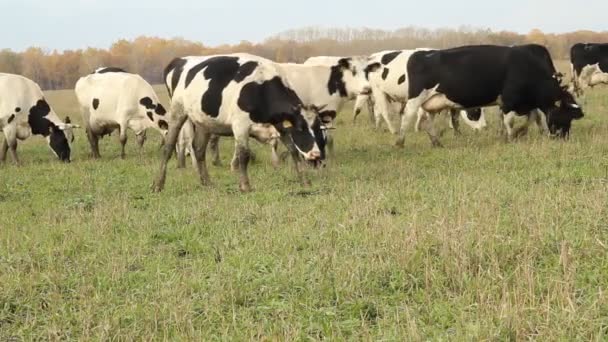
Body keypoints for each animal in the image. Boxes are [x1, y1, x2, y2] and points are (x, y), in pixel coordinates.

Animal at [394, 43, 584, 146]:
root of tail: (421, 53)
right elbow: (510, 121)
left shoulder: (523, 103)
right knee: (407, 117)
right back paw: (400, 142)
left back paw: (436, 143)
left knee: (428, 121)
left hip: (431, 103)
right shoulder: (509, 100)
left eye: (571, 119)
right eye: (564, 116)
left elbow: (530, 118)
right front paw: (511, 137)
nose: (563, 138)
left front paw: (513, 134)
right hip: (415, 99)